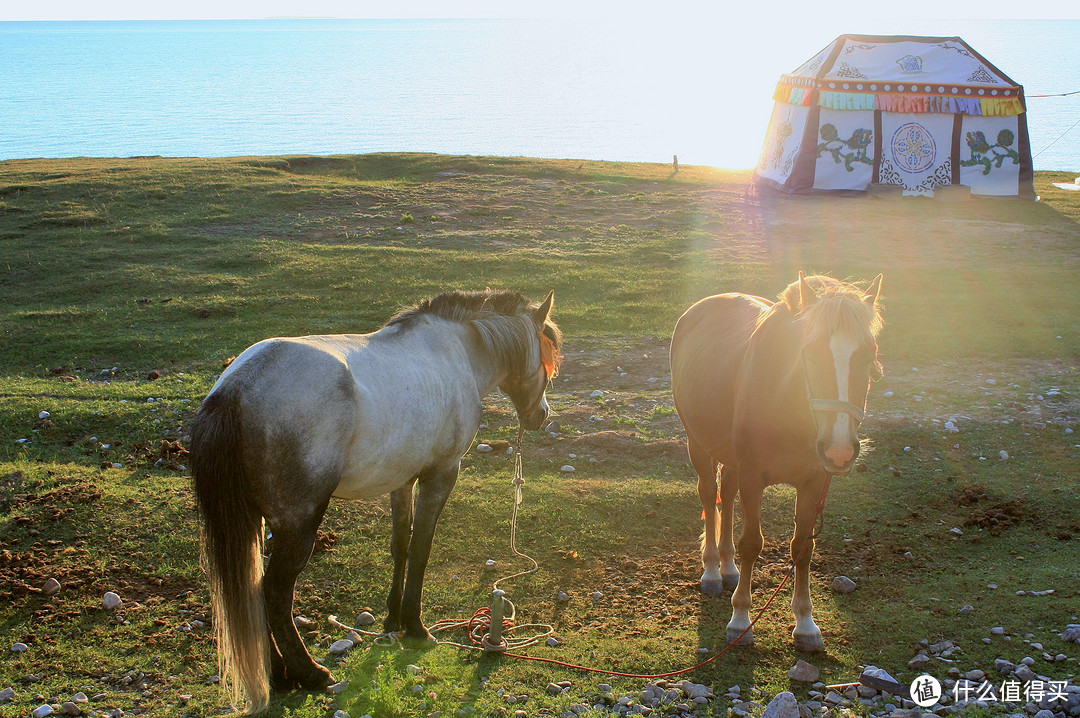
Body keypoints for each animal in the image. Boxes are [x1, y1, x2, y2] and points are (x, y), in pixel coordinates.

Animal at [669, 273, 881, 647]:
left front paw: (806, 624)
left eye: (869, 355)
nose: (839, 449)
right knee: (709, 496)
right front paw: (740, 620)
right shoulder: (754, 476)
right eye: (810, 351)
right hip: (699, 444)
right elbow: (752, 543)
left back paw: (728, 568)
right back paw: (712, 572)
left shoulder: (814, 483)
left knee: (728, 492)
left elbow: (802, 548)